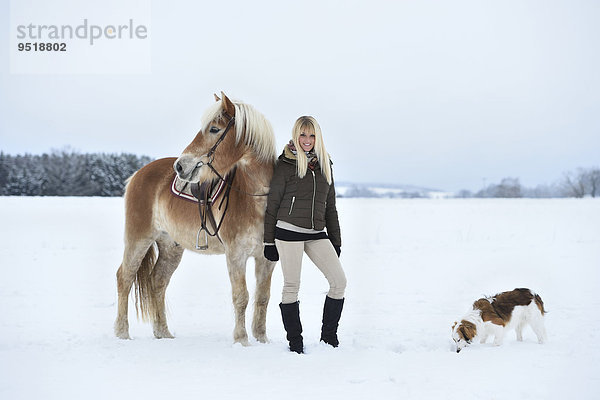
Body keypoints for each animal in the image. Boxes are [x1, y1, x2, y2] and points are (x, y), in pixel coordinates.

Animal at [113, 91, 278, 344]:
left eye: (214, 129)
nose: (180, 166)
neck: (256, 197)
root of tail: (138, 174)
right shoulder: (236, 255)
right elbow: (241, 296)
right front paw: (241, 340)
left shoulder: (266, 258)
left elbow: (262, 297)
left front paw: (261, 339)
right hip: (138, 239)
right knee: (125, 278)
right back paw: (122, 333)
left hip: (170, 246)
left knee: (158, 281)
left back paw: (163, 332)